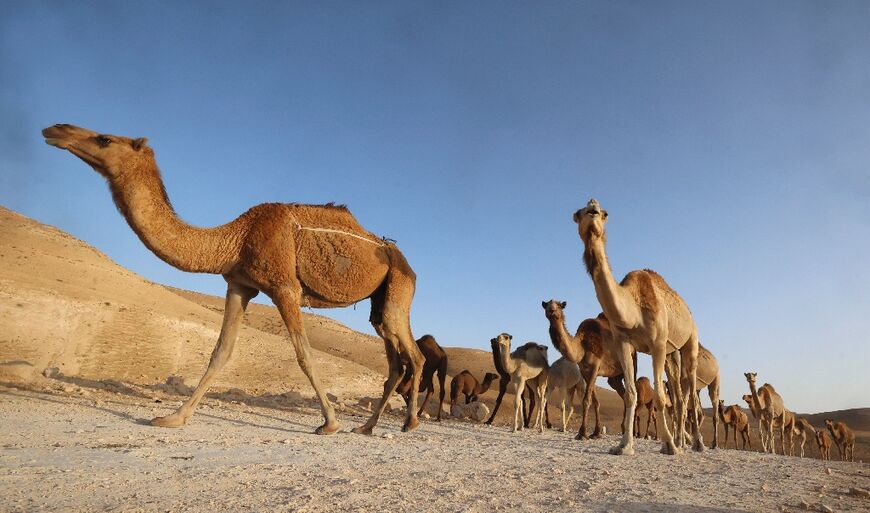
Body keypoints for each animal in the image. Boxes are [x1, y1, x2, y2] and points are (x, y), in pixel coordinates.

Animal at [43, 122, 426, 434]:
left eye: (104, 138)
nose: (55, 129)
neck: (236, 238)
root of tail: (404, 259)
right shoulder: (240, 285)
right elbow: (221, 351)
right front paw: (173, 417)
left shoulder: (284, 286)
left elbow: (303, 354)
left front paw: (329, 424)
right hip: (379, 302)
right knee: (394, 358)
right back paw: (367, 427)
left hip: (399, 285)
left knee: (412, 352)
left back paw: (408, 423)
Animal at [576, 198, 704, 454]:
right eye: (578, 213)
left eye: (604, 213)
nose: (593, 208)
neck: (633, 311)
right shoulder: (624, 343)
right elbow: (631, 395)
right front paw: (624, 446)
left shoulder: (657, 344)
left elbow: (659, 397)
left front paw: (668, 446)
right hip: (672, 353)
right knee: (677, 395)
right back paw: (681, 441)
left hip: (690, 341)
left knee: (690, 393)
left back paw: (696, 443)